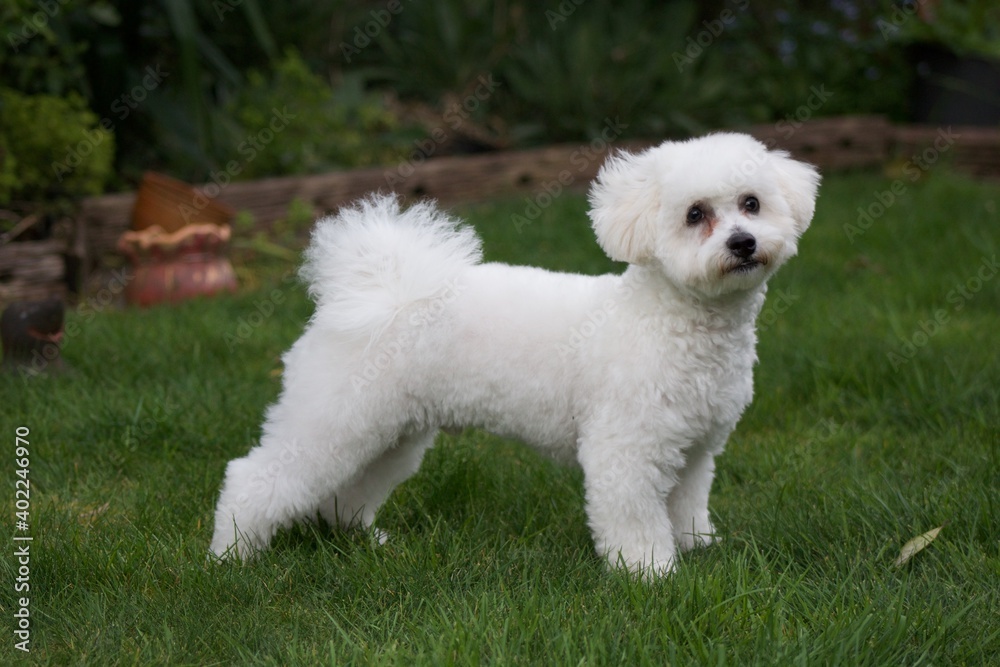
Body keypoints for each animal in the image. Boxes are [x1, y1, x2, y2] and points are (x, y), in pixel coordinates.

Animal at [211, 133, 820, 576]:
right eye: (695, 214)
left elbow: (687, 506)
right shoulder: (625, 450)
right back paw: (229, 558)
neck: (669, 321)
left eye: (751, 204)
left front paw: (698, 548)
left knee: (349, 491)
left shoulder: (694, 450)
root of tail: (380, 293)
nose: (742, 243)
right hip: (333, 417)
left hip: (391, 433)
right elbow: (634, 520)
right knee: (255, 477)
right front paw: (650, 574)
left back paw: (364, 539)